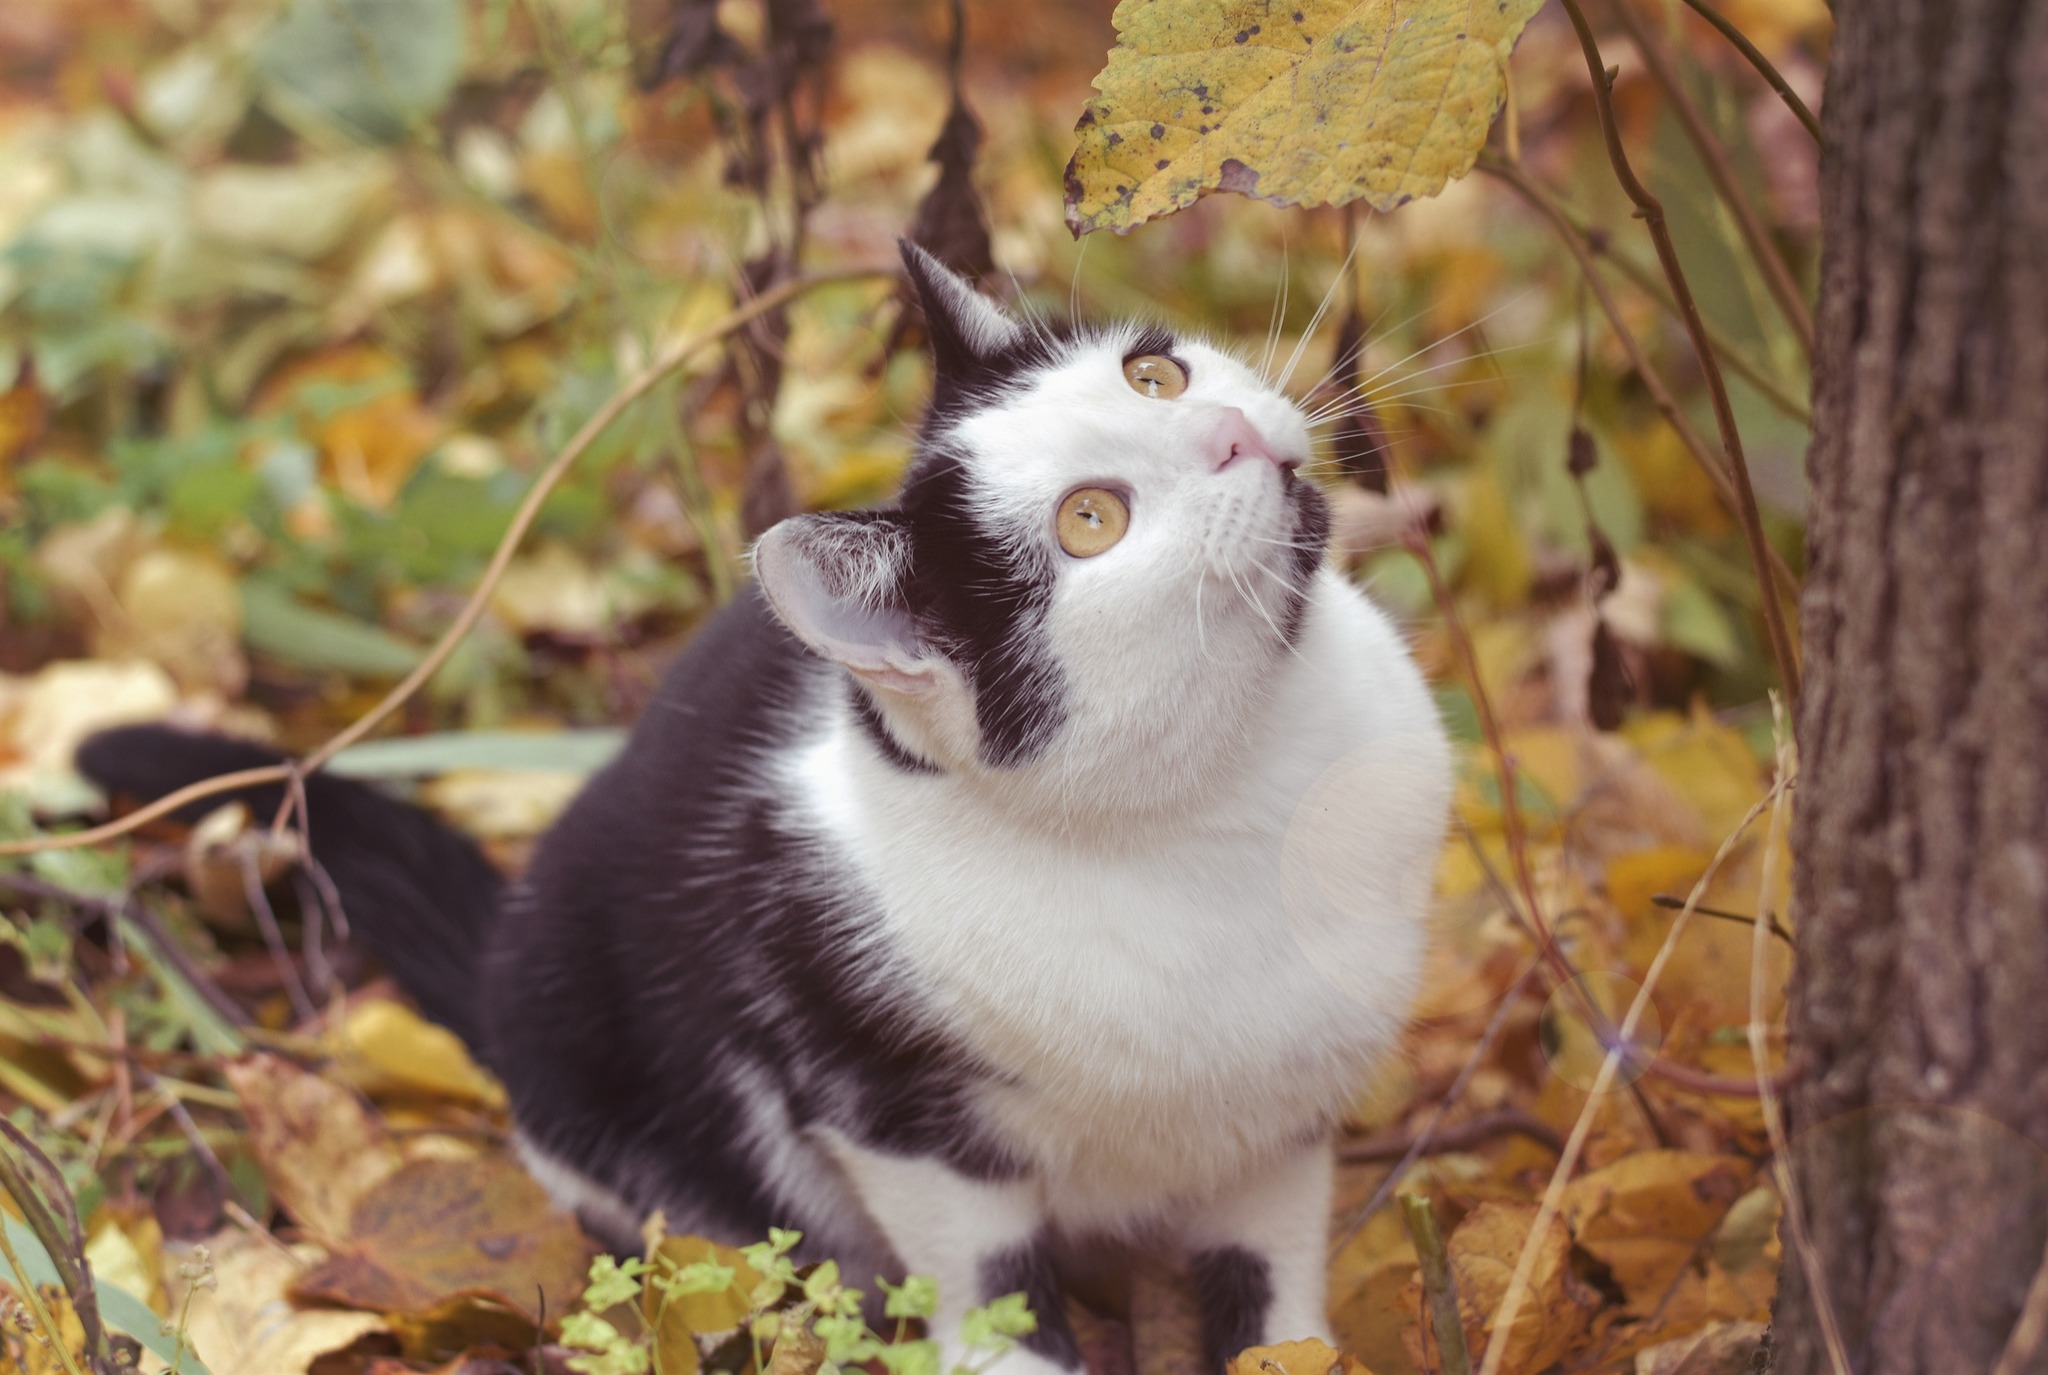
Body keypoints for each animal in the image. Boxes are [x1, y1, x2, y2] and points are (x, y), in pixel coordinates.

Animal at [79, 244, 1458, 1375]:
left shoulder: (1278, 1123)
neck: (1237, 800)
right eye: (1090, 522)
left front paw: (1290, 1344)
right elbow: (989, 1284)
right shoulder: (876, 1098)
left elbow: (1272, 1284)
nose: (1229, 428)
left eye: (1154, 373)